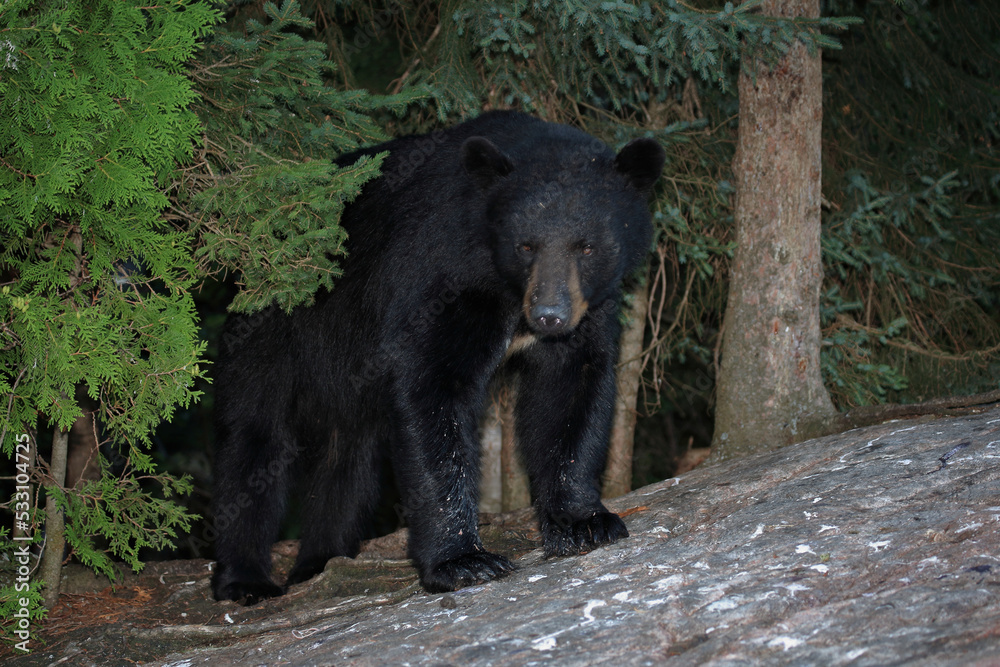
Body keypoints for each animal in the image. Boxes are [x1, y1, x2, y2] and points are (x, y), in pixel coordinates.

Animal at [210, 110, 664, 604]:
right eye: (526, 245)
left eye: (587, 246)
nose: (549, 316)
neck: (501, 286)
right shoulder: (439, 275)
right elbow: (433, 389)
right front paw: (463, 560)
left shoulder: (587, 312)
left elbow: (571, 389)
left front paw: (584, 522)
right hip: (274, 333)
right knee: (256, 439)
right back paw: (245, 579)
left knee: (348, 457)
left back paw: (322, 560)